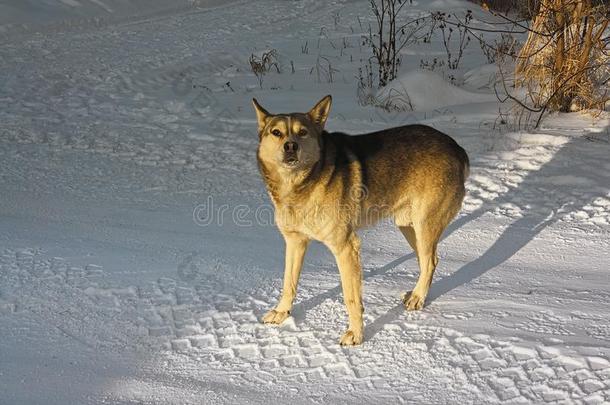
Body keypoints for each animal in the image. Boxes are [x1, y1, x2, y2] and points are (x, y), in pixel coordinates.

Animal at [251, 94, 466, 344]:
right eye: (276, 132)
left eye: (302, 132)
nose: (291, 146)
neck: (300, 183)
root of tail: (456, 147)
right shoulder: (295, 242)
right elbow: (289, 283)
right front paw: (282, 312)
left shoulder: (346, 247)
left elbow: (351, 298)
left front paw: (356, 334)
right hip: (408, 225)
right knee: (429, 261)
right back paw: (415, 294)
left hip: (424, 225)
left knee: (430, 260)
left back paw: (418, 297)